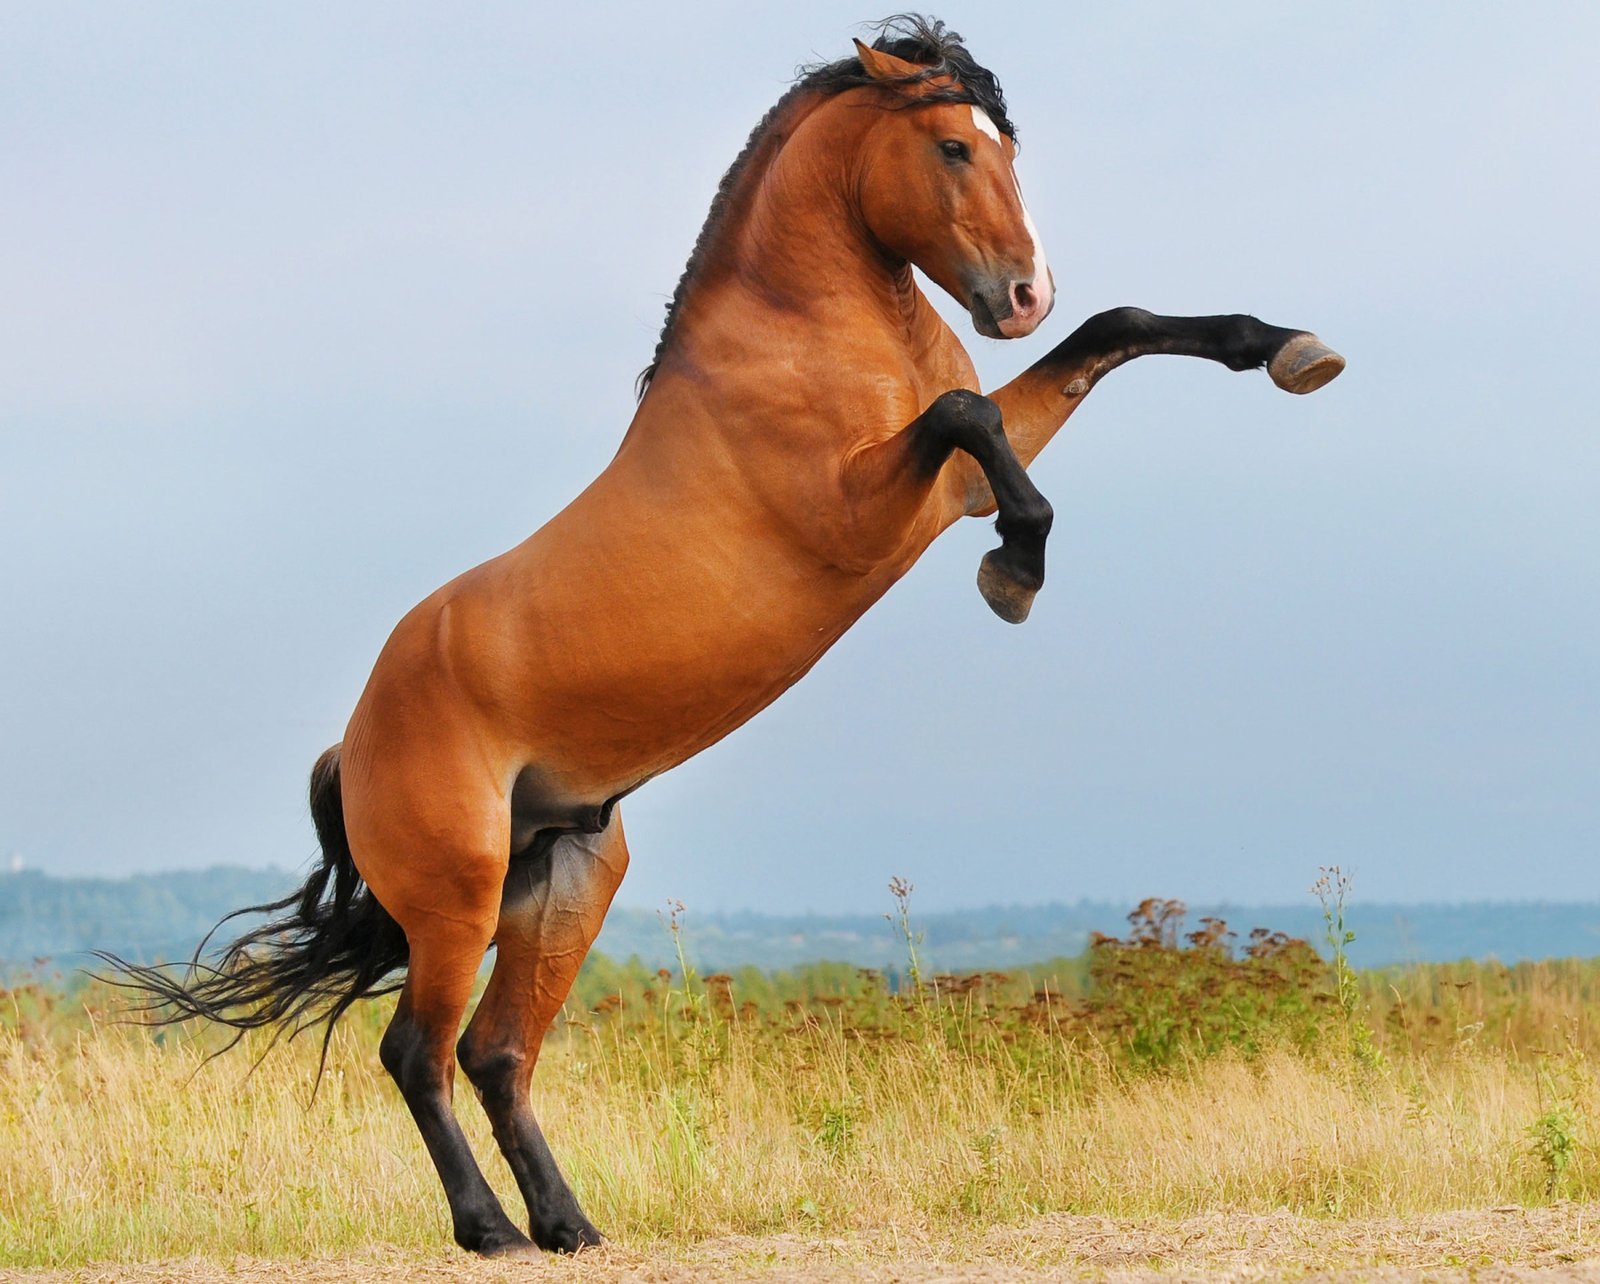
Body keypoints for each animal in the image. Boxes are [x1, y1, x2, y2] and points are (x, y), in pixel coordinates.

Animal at [103, 15, 1343, 1258]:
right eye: (950, 146)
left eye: (1004, 145)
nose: (1023, 295)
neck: (805, 335)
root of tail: (349, 743)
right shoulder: (870, 508)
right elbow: (972, 416)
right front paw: (1015, 577)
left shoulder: (946, 489)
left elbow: (1106, 335)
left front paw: (1291, 351)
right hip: (457, 897)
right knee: (418, 1053)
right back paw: (491, 1231)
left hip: (563, 881)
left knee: (495, 1055)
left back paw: (570, 1226)